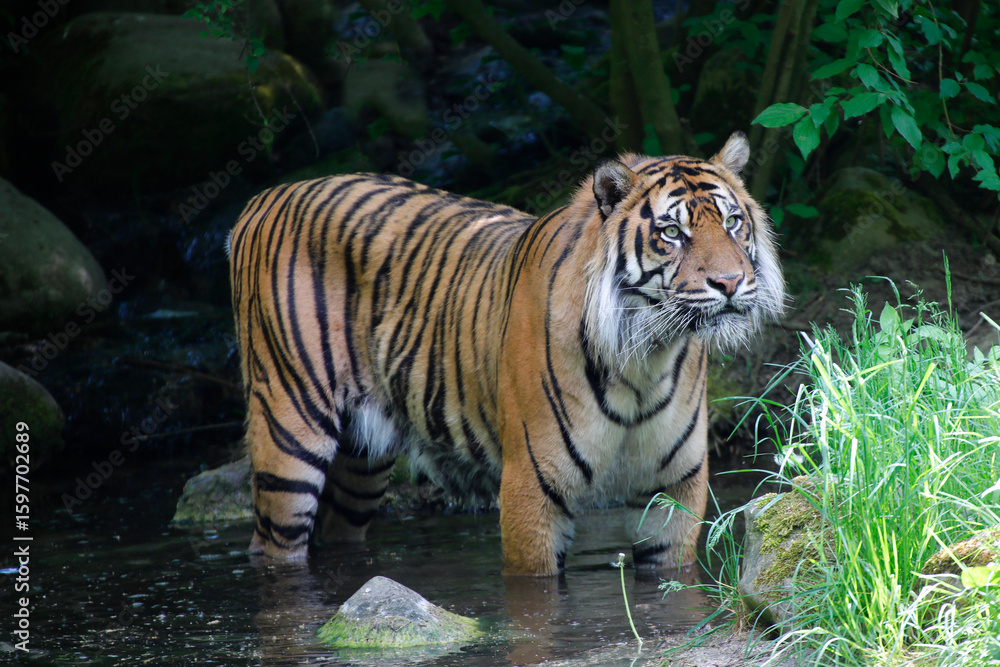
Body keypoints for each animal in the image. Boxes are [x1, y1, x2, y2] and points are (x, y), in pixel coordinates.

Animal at [228, 131, 785, 576]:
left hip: (362, 462)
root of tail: (266, 196)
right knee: (272, 545)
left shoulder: (674, 488)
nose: (730, 283)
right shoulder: (531, 489)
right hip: (289, 431)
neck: (646, 357)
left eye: (733, 222)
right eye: (672, 233)